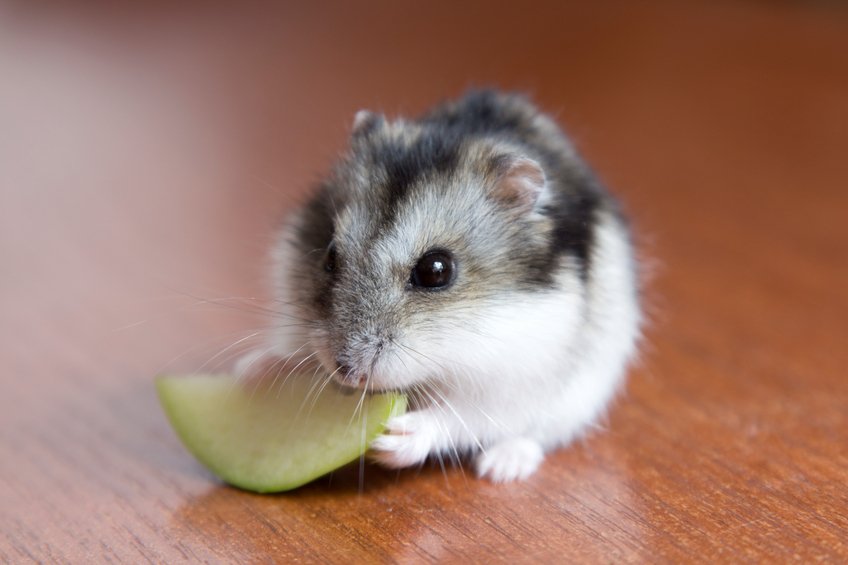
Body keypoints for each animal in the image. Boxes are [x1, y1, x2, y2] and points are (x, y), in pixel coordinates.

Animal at [240, 90, 641, 482]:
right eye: (329, 255)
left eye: (436, 271)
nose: (348, 374)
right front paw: (253, 371)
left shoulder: (510, 379)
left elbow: (461, 416)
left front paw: (394, 440)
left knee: (536, 434)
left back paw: (502, 467)